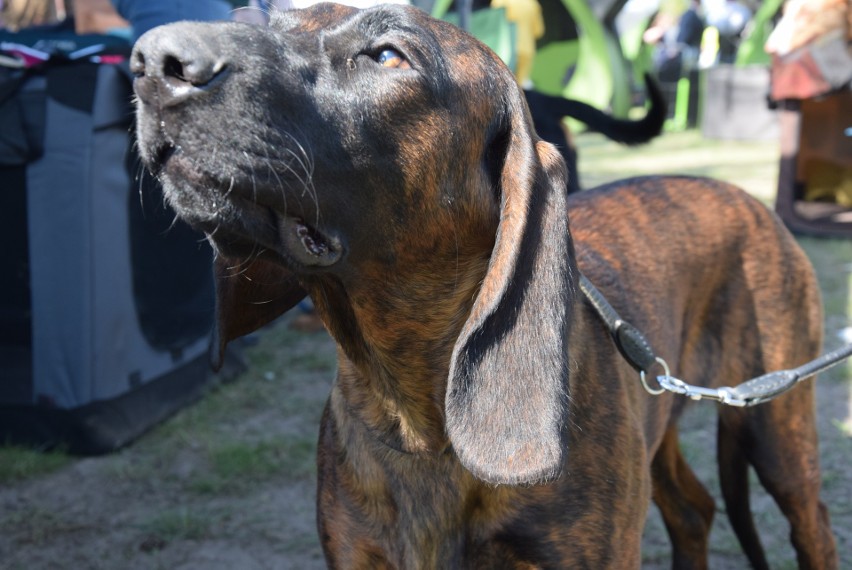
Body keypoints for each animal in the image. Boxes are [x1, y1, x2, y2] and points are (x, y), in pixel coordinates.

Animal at [130, 3, 836, 564]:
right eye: (257, 18)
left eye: (386, 55)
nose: (151, 61)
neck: (417, 420)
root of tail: (744, 198)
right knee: (693, 510)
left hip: (778, 437)